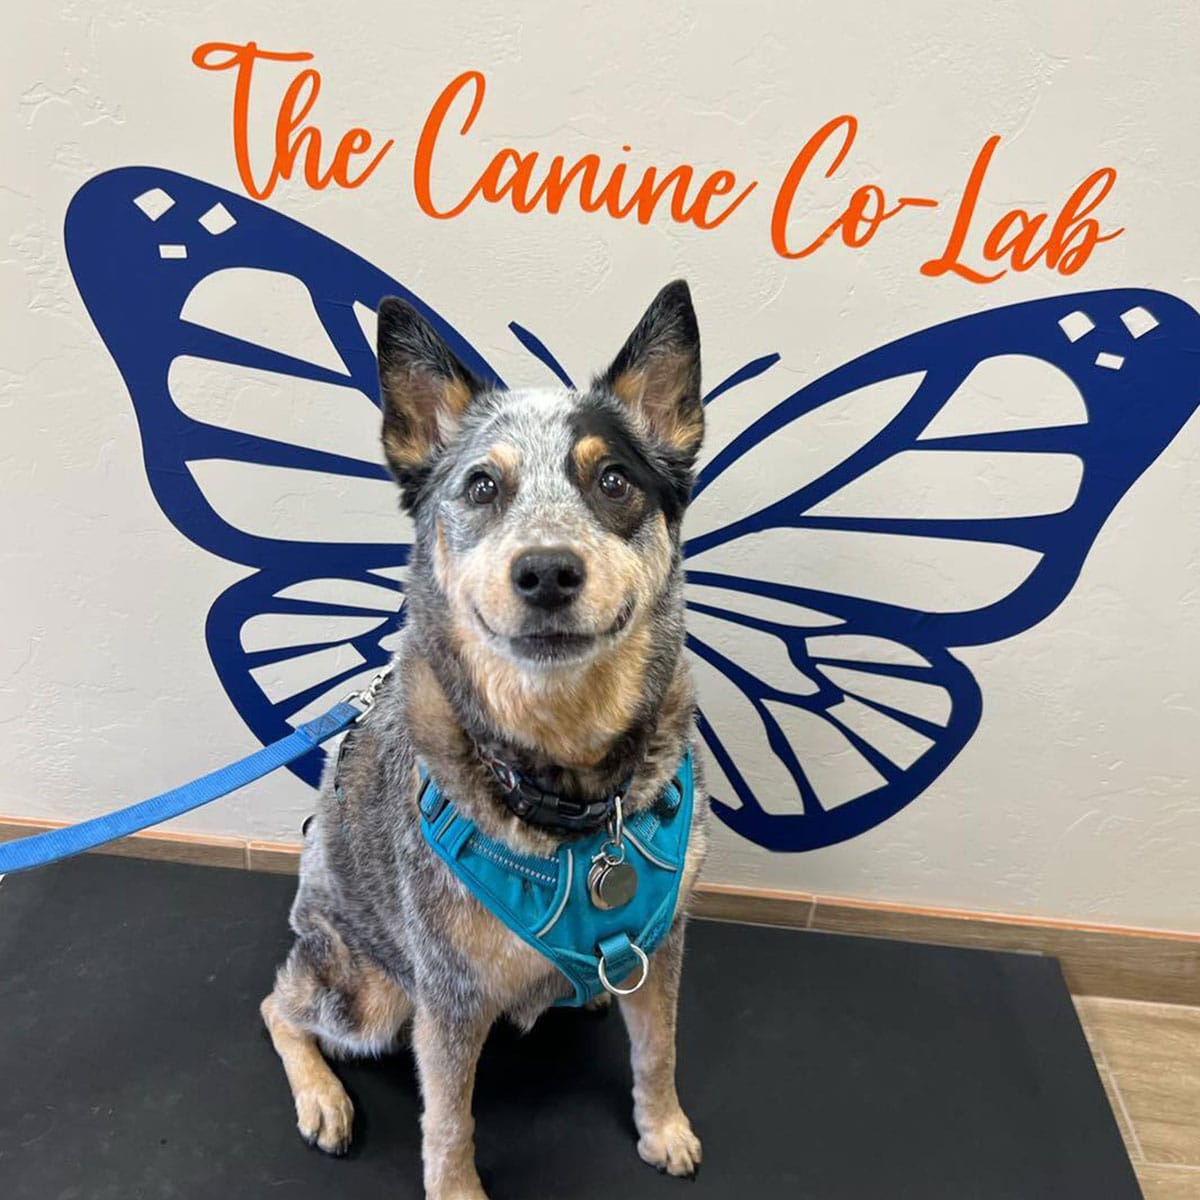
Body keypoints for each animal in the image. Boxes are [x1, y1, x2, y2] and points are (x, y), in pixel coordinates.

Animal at [262, 280, 705, 1200]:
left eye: (613, 479)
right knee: (277, 1004)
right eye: (480, 486)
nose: (546, 571)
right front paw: (457, 1189)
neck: (570, 789)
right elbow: (448, 1118)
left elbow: (658, 1049)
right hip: (370, 994)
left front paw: (664, 1129)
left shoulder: (666, 935)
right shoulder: (449, 993)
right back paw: (321, 1097)